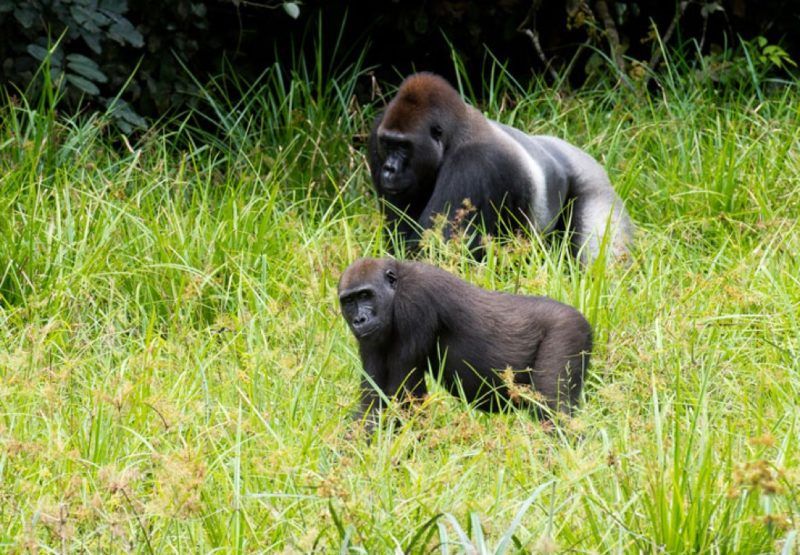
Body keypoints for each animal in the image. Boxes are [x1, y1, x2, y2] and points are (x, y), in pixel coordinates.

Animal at [334, 258, 592, 428]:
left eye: (365, 295)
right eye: (349, 301)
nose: (359, 320)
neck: (396, 288)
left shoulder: (414, 301)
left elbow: (404, 394)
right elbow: (373, 399)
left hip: (568, 330)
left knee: (553, 408)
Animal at [370, 71, 636, 264]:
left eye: (404, 146)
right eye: (387, 143)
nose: (389, 169)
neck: (454, 135)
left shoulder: (473, 164)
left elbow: (434, 253)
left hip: (595, 185)